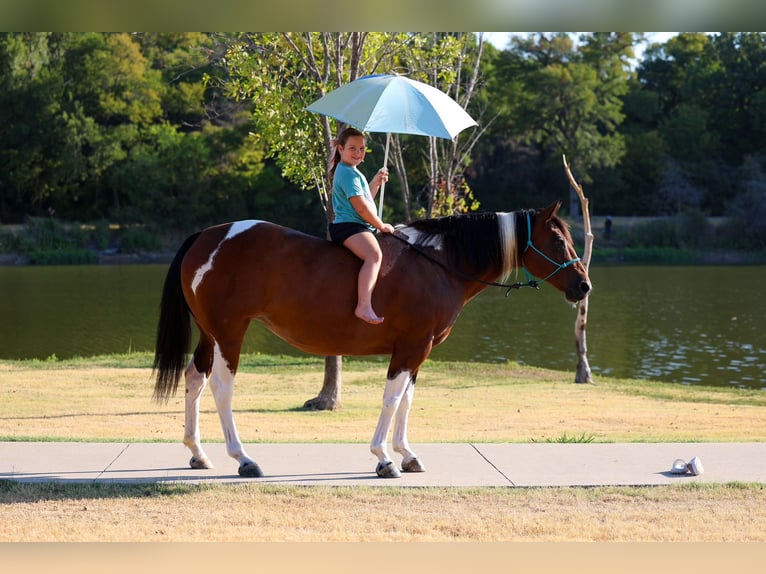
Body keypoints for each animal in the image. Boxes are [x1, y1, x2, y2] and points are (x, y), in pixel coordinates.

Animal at [152, 200, 591, 478]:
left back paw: (198, 453)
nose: (583, 286)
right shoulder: (412, 346)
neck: (438, 263)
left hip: (210, 334)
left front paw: (407, 454)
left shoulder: (418, 351)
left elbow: (407, 399)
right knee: (222, 388)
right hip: (230, 333)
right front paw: (384, 458)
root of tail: (208, 236)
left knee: (195, 379)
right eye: (557, 241)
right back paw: (243, 458)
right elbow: (393, 398)